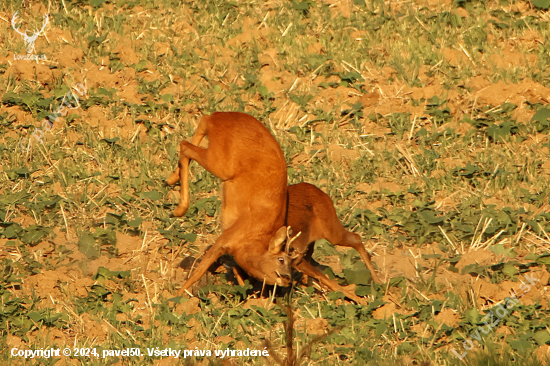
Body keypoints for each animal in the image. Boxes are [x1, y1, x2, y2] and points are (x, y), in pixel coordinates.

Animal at [167, 112, 294, 298]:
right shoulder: (225, 238)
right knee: (186, 144)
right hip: (221, 163)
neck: (254, 240)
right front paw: (176, 296)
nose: (288, 278)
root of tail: (219, 116)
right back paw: (179, 208)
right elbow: (199, 271)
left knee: (196, 131)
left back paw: (172, 180)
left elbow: (235, 270)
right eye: (281, 259)